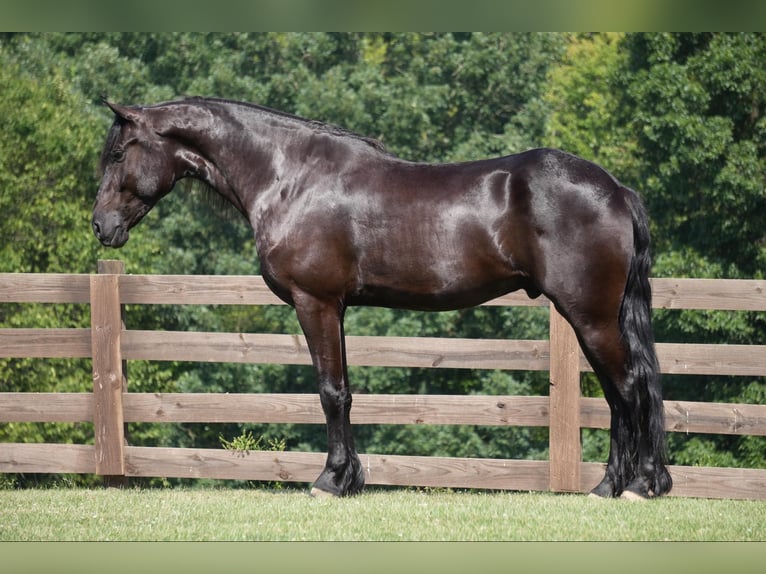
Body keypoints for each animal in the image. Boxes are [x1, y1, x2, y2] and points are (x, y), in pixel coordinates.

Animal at [92, 97, 672, 500]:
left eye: (118, 153)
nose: (100, 226)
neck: (289, 176)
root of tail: (616, 190)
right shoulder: (338, 308)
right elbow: (345, 391)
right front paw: (350, 480)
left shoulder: (316, 302)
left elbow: (329, 392)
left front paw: (329, 482)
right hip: (593, 319)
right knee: (619, 394)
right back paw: (610, 486)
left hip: (591, 316)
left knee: (631, 388)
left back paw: (639, 485)